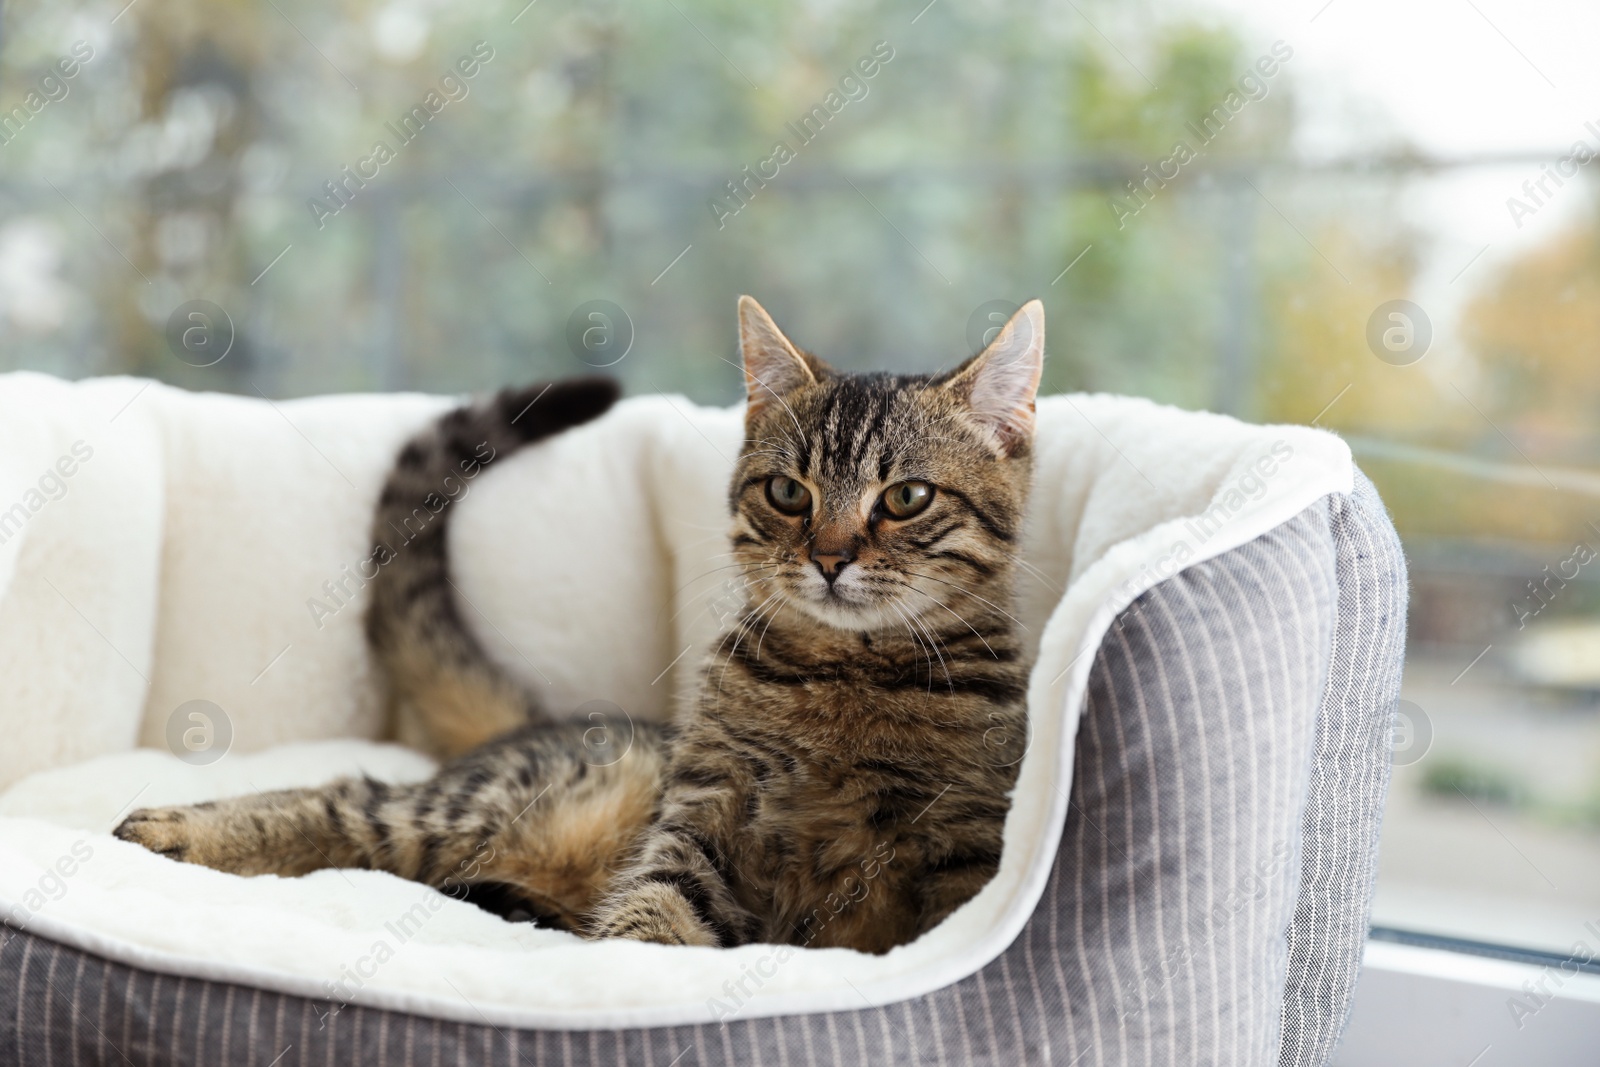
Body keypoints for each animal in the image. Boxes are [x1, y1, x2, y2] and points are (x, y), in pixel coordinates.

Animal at [112, 295, 1043, 953]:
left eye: (906, 497)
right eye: (788, 493)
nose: (829, 556)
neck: (850, 672)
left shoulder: (964, 852)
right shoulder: (701, 815)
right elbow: (656, 910)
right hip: (494, 801)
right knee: (349, 804)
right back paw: (182, 830)